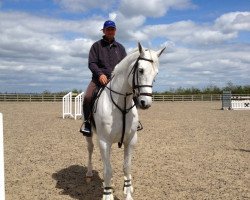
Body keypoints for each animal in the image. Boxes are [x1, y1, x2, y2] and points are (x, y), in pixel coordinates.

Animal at [85, 43, 165, 199]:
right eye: (140, 70)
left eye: (156, 74)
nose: (145, 103)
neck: (120, 104)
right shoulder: (104, 142)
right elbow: (108, 170)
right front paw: (107, 194)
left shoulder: (131, 140)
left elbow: (126, 167)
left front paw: (128, 193)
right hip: (89, 135)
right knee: (91, 149)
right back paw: (90, 173)